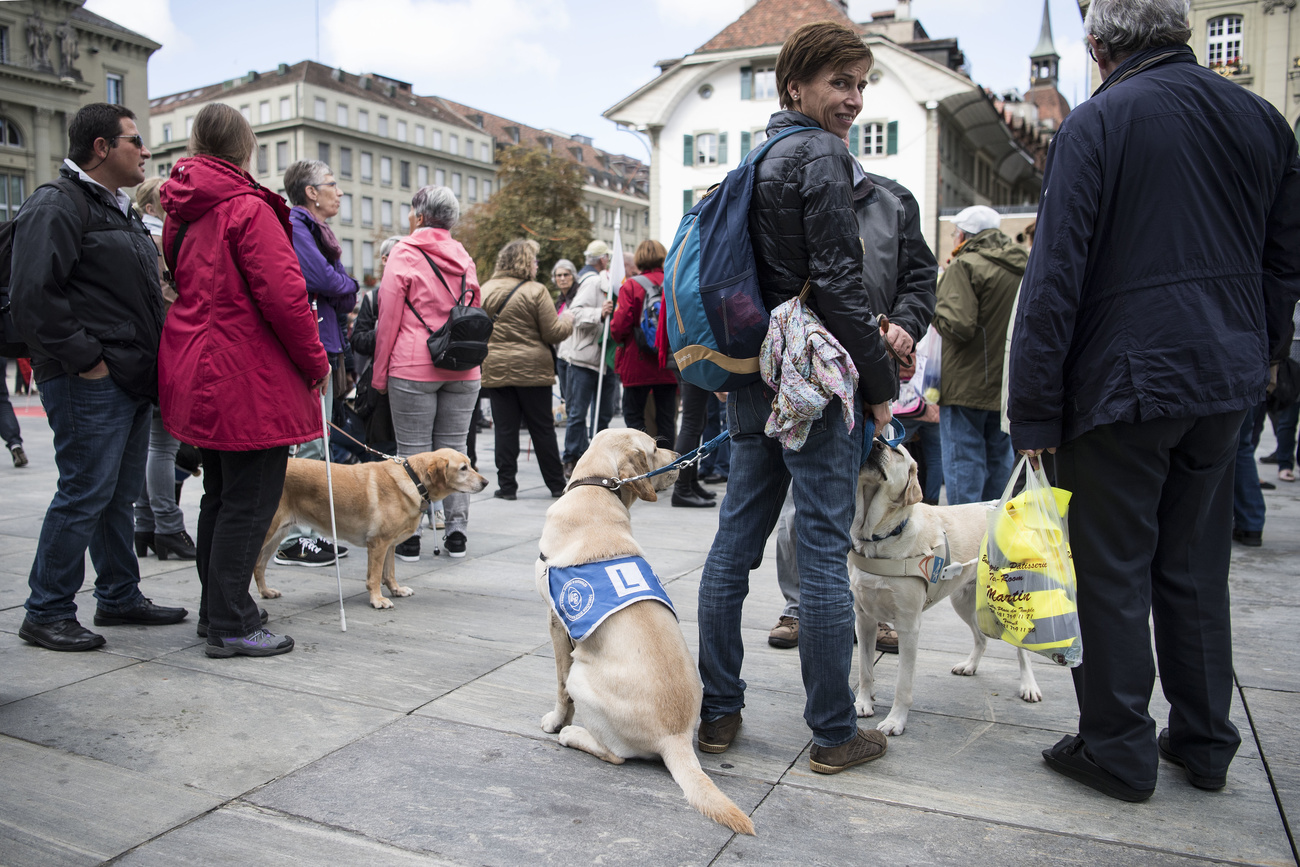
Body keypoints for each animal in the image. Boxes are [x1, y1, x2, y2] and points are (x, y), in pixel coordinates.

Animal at [253, 447, 488, 610]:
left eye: (470, 464)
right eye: (463, 468)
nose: (486, 482)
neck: (414, 480)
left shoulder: (389, 544)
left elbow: (389, 572)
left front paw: (396, 590)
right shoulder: (378, 543)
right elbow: (375, 576)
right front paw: (377, 600)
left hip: (277, 534)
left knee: (258, 566)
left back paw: (265, 592)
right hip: (267, 532)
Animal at [530, 431, 754, 837]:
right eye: (654, 448)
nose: (683, 456)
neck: (597, 490)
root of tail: (676, 739)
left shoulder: (555, 623)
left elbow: (558, 688)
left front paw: (557, 723)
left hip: (581, 677)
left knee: (615, 754)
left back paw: (573, 736)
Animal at [847, 441, 1040, 738]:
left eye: (897, 452)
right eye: (878, 440)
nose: (877, 444)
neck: (878, 538)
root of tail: (1002, 506)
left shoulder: (908, 626)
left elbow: (903, 685)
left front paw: (895, 721)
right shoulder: (864, 619)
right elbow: (865, 670)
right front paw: (863, 703)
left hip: (1011, 603)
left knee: (1022, 648)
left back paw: (1029, 686)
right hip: (964, 602)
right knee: (981, 638)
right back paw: (970, 666)